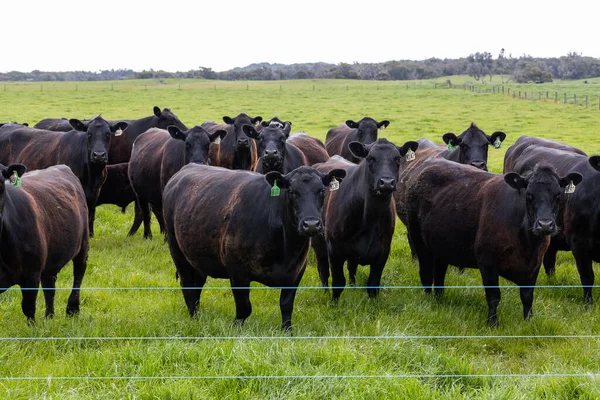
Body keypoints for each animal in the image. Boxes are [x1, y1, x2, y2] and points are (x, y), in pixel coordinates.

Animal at [0, 115, 129, 236]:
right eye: (89, 134)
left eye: (108, 134)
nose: (99, 155)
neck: (93, 174)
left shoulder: (95, 193)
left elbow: (91, 217)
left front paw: (91, 235)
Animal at [0, 164, 89, 320]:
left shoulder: (31, 274)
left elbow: (28, 308)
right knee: (49, 285)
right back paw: (49, 316)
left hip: (83, 243)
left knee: (78, 273)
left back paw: (72, 310)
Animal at [163, 164, 346, 330]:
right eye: (292, 192)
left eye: (321, 191)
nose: (311, 224)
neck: (285, 249)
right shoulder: (237, 271)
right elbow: (244, 307)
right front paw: (234, 329)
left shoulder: (297, 271)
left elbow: (286, 305)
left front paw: (287, 332)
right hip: (177, 250)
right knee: (187, 285)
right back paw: (194, 318)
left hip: (198, 256)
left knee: (197, 284)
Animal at [310, 138, 418, 300]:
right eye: (370, 158)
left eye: (398, 159)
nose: (386, 182)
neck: (369, 219)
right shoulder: (334, 248)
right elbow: (338, 282)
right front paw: (333, 303)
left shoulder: (383, 250)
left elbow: (373, 283)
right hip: (318, 239)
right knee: (323, 268)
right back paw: (325, 292)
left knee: (351, 267)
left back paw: (353, 287)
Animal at [404, 158, 580, 326]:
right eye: (529, 195)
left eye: (558, 195)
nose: (545, 224)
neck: (528, 245)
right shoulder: (487, 262)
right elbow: (494, 296)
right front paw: (493, 323)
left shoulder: (535, 264)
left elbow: (527, 296)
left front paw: (528, 321)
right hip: (418, 240)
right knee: (426, 273)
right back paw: (429, 301)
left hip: (441, 244)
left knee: (439, 272)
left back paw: (439, 298)